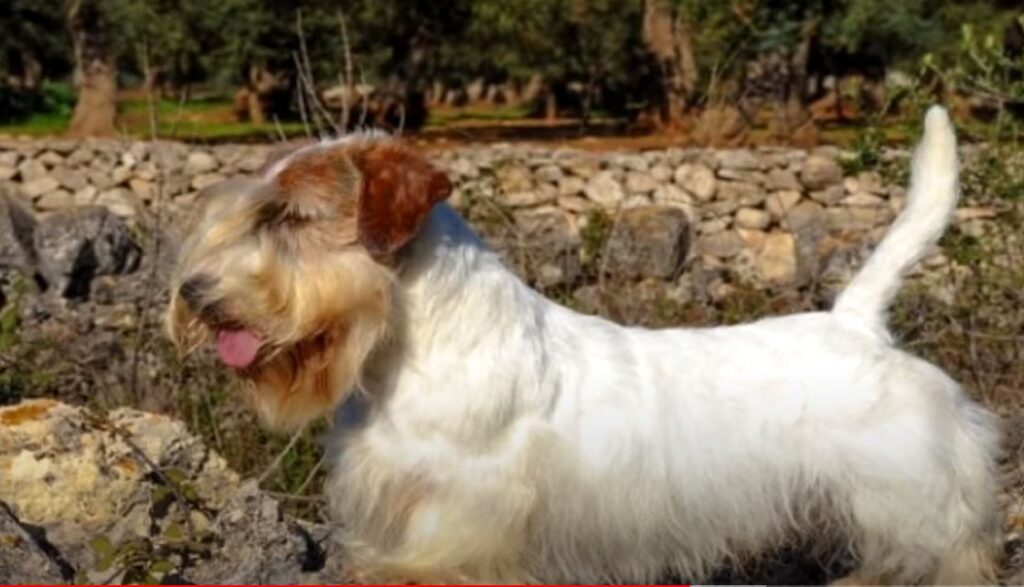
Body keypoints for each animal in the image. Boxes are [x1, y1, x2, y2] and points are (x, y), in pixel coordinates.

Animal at [169, 107, 999, 581]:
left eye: (291, 217)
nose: (196, 295)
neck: (408, 352)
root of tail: (857, 322)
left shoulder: (456, 532)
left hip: (921, 514)